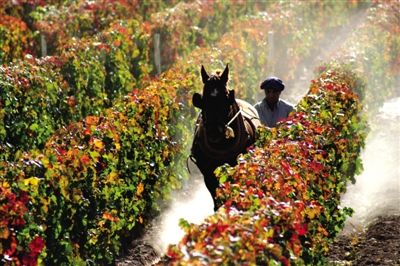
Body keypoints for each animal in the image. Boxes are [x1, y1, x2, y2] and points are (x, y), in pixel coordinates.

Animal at [191, 64, 262, 210]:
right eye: (203, 100)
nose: (213, 132)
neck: (220, 146)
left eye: (225, 98)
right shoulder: (208, 172)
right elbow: (215, 193)